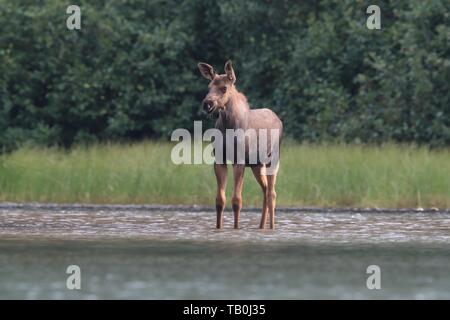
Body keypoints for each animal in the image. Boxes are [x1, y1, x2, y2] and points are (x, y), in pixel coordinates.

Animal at [198, 60, 284, 229]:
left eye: (224, 88)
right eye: (209, 86)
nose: (207, 104)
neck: (228, 126)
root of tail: (279, 119)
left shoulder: (240, 161)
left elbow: (237, 200)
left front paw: (236, 228)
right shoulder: (220, 160)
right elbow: (220, 200)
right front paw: (219, 227)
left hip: (273, 159)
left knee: (272, 193)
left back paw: (271, 227)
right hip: (257, 165)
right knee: (265, 190)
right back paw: (261, 226)